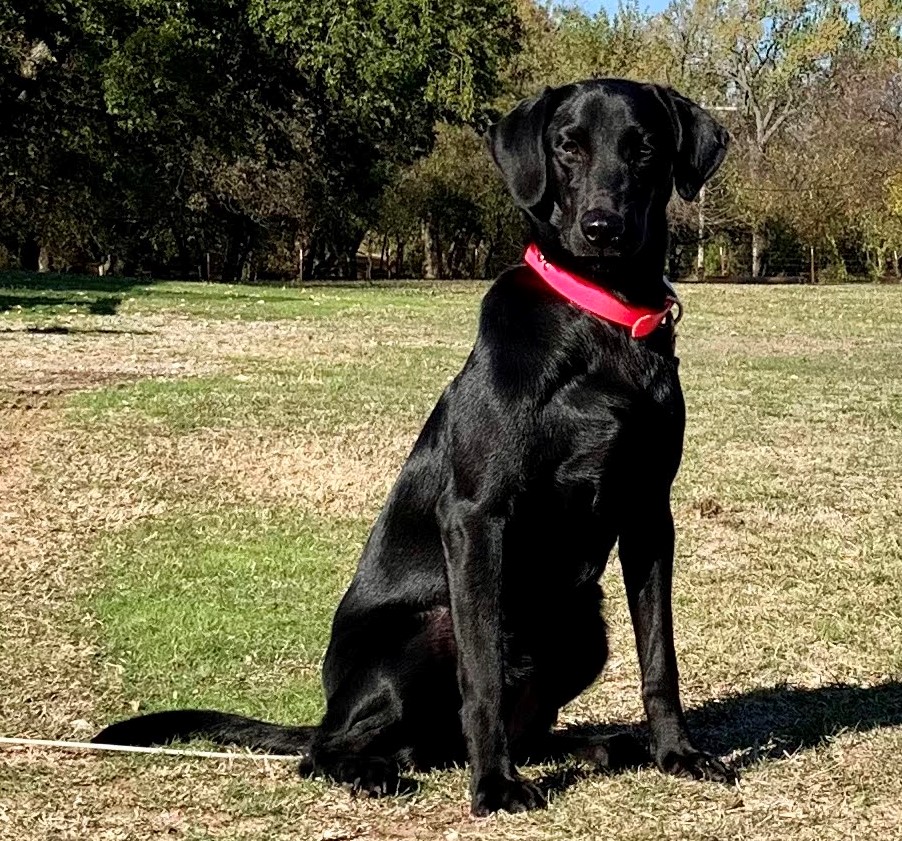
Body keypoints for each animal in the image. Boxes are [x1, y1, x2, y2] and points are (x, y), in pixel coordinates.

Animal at [97, 79, 736, 812]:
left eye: (645, 146)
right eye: (567, 146)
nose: (602, 227)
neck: (601, 318)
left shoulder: (650, 515)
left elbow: (661, 655)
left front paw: (677, 752)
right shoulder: (477, 517)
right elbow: (481, 677)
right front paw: (493, 787)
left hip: (582, 625)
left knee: (511, 730)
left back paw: (600, 746)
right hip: (426, 629)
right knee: (330, 748)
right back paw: (378, 768)